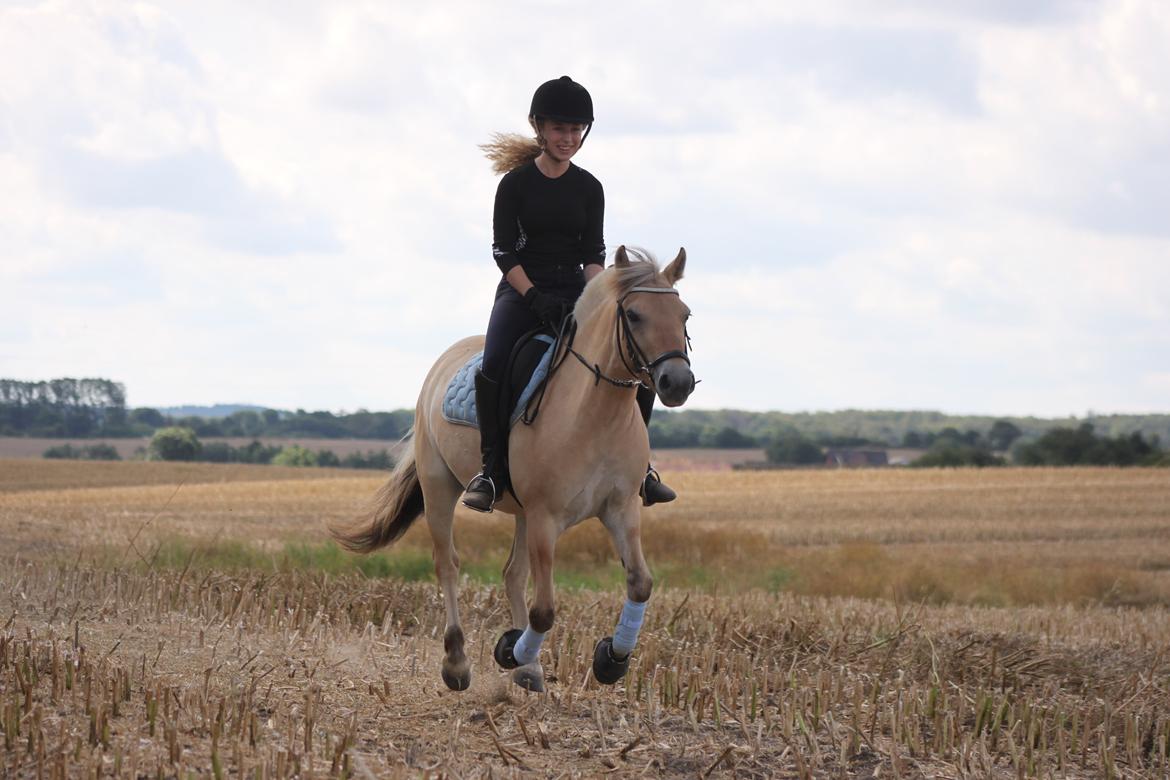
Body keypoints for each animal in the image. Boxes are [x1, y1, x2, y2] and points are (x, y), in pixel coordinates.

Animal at [329, 246, 692, 692]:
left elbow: (640, 584)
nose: (678, 382)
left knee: (512, 574)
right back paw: (459, 662)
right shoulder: (545, 517)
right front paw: (509, 649)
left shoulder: (620, 509)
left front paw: (611, 659)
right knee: (448, 563)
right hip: (440, 487)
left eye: (684, 315)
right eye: (636, 315)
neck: (594, 414)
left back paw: (529, 668)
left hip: (521, 513)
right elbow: (544, 609)